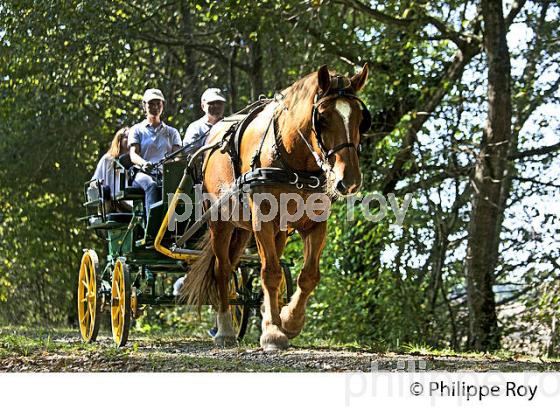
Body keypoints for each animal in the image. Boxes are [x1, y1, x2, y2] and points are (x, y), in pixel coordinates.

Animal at [179, 65, 370, 352]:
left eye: (359, 118)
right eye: (323, 118)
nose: (349, 181)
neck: (293, 160)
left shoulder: (316, 223)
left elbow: (308, 275)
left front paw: (289, 320)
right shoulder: (263, 220)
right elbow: (269, 272)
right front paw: (272, 333)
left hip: (255, 229)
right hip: (220, 222)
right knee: (222, 269)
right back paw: (225, 329)